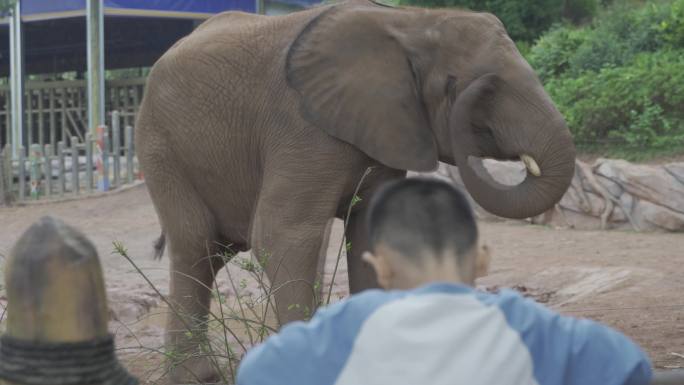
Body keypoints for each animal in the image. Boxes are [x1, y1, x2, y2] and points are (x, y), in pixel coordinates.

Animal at [136, 0, 576, 380]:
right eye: (453, 85)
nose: (480, 86)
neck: (412, 20)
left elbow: (366, 231)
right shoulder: (300, 126)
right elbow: (281, 234)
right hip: (160, 146)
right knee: (197, 245)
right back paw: (198, 376)